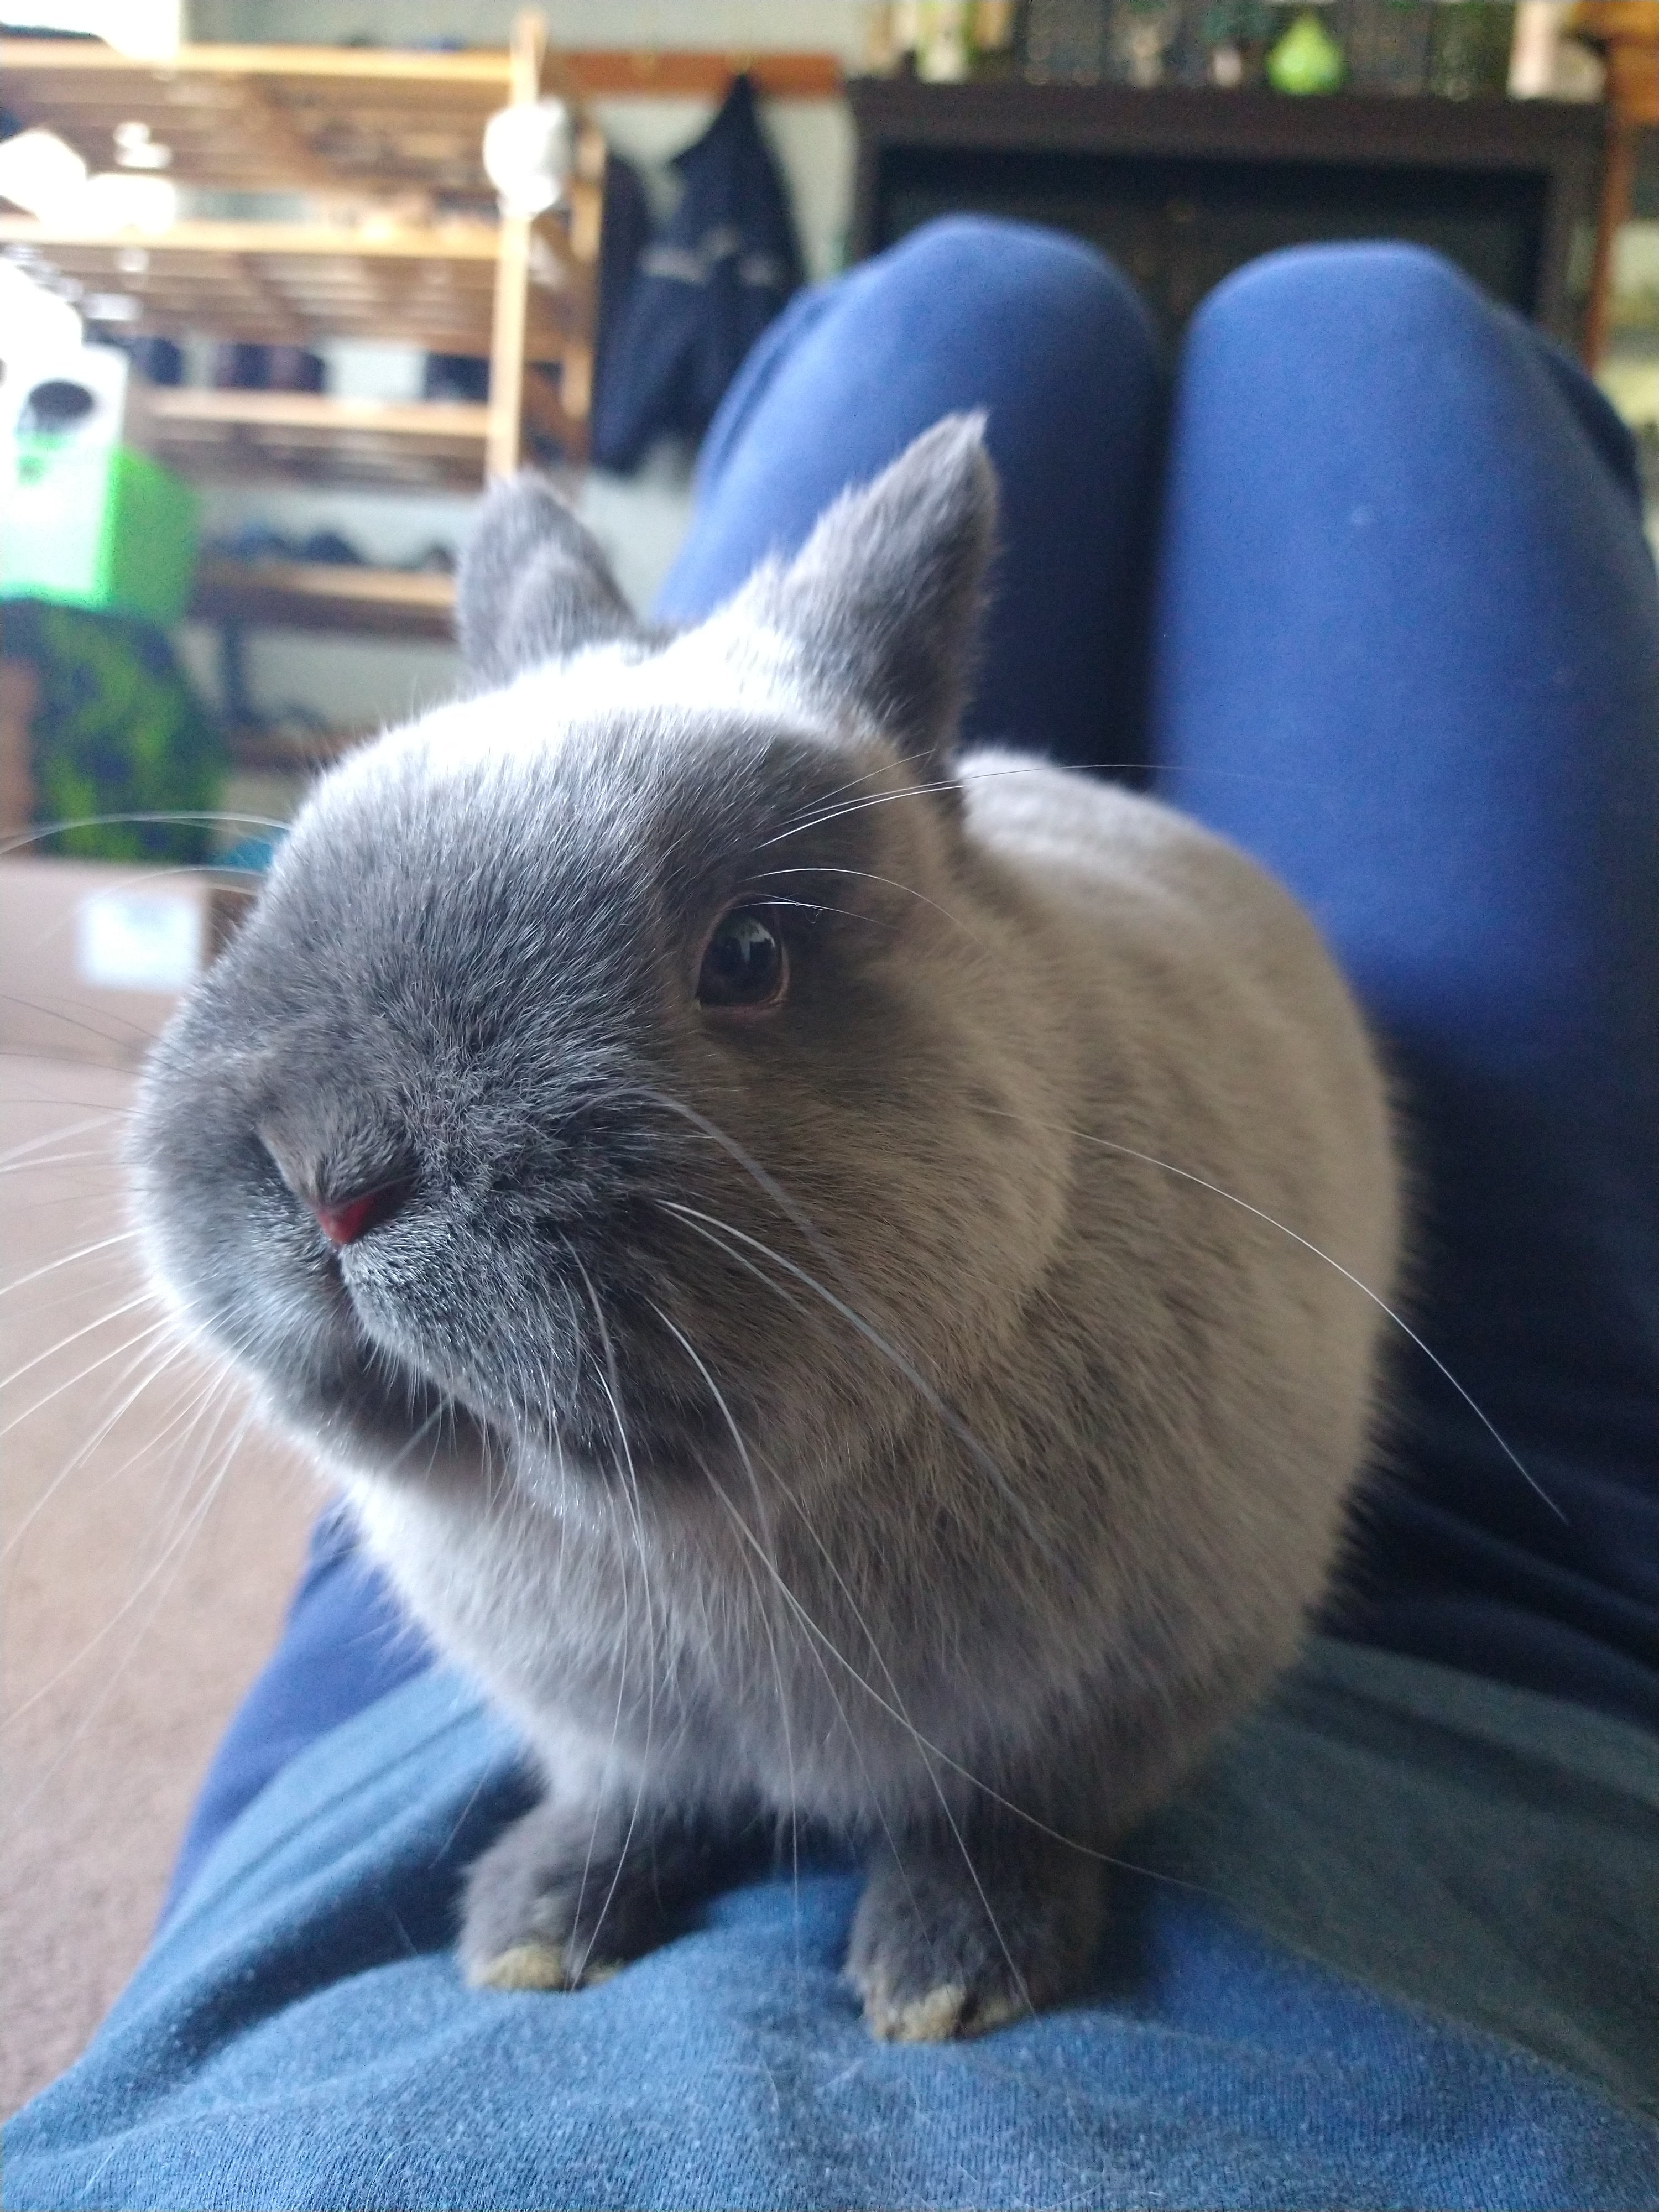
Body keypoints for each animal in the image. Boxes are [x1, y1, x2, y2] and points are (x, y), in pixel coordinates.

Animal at [132, 415, 1399, 2042]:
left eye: (747, 957)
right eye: (301, 866)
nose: (328, 1172)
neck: (669, 1522)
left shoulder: (1113, 1703)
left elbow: (1003, 1822)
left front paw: (945, 1978)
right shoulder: (619, 1733)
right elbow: (631, 1803)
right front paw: (532, 1925)